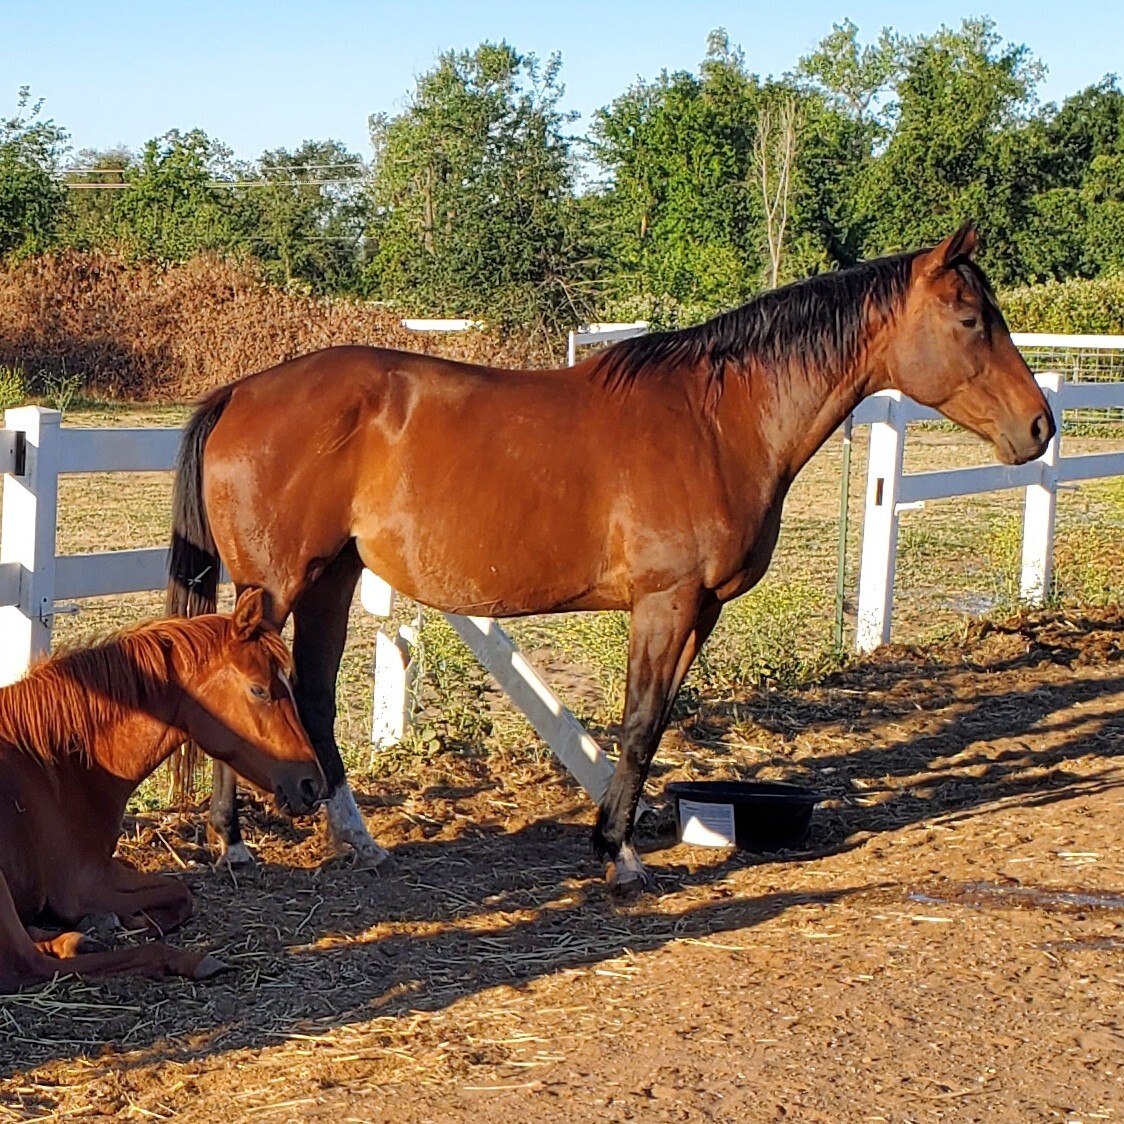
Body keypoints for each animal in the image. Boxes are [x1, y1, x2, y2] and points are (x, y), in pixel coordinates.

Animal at [0, 588, 325, 992]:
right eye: (259, 689)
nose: (312, 784)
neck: (55, 763)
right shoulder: (84, 885)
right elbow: (179, 892)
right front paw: (123, 923)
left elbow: (179, 894)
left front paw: (104, 925)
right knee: (27, 966)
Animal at [165, 222, 1053, 893]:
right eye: (971, 319)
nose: (1041, 427)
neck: (718, 419)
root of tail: (242, 391)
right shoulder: (664, 602)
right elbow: (636, 720)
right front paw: (617, 853)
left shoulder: (700, 609)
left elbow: (654, 723)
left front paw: (616, 836)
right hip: (280, 583)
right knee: (243, 682)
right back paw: (234, 842)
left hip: (334, 577)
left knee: (311, 698)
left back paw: (357, 840)